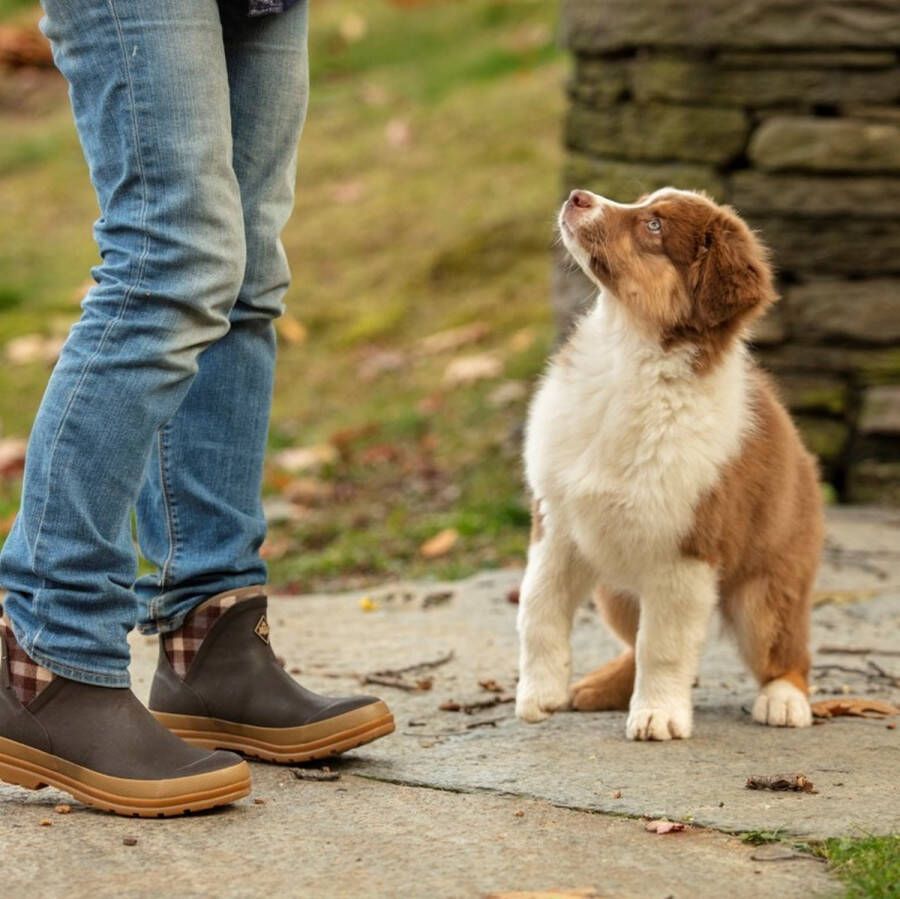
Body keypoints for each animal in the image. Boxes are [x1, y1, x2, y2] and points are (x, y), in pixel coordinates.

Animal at [516, 188, 828, 740]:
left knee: (787, 649)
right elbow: (539, 609)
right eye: (643, 203)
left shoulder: (685, 551)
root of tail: (805, 458)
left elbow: (662, 647)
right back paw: (598, 687)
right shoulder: (557, 523)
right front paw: (538, 695)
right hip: (614, 588)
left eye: (654, 226)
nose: (577, 196)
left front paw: (658, 715)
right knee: (629, 639)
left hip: (768, 588)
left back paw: (784, 700)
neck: (626, 354)